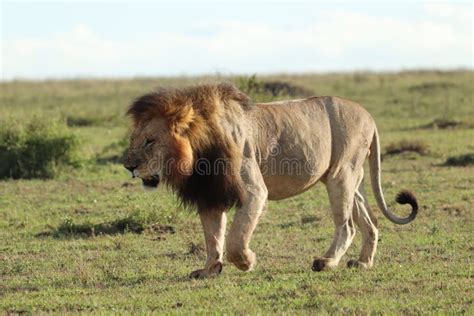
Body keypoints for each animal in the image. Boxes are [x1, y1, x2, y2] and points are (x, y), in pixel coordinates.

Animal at [124, 82, 416, 278]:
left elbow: (235, 239)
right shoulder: (211, 193)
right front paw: (210, 269)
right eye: (134, 140)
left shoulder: (254, 191)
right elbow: (213, 236)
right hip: (352, 179)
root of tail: (369, 116)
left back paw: (326, 262)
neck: (199, 152)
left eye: (150, 141)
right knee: (371, 222)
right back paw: (363, 263)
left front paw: (247, 261)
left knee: (347, 226)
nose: (128, 166)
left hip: (340, 175)